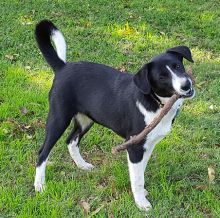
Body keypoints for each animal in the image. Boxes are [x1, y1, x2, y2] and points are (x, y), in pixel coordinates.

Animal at [34, 20, 194, 211]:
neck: (156, 102)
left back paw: (82, 165)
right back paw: (39, 185)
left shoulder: (148, 145)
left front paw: (142, 193)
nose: (186, 85)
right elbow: (138, 178)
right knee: (43, 152)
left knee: (71, 140)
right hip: (59, 118)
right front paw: (141, 202)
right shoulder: (134, 146)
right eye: (162, 77)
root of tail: (63, 67)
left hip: (85, 119)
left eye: (178, 66)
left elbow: (140, 171)